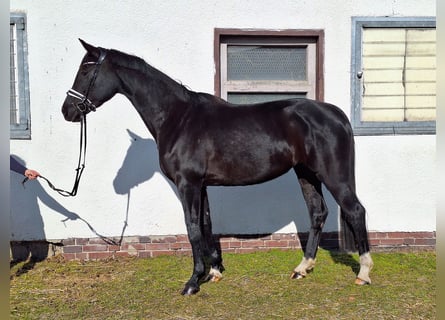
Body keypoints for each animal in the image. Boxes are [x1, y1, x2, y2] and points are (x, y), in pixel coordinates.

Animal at [61, 39, 372, 296]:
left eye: (86, 71)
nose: (67, 111)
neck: (178, 117)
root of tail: (337, 115)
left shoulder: (188, 184)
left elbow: (192, 227)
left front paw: (193, 281)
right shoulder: (201, 185)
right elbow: (207, 224)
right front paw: (214, 271)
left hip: (333, 176)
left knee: (356, 211)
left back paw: (364, 273)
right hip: (306, 173)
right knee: (317, 213)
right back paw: (302, 268)